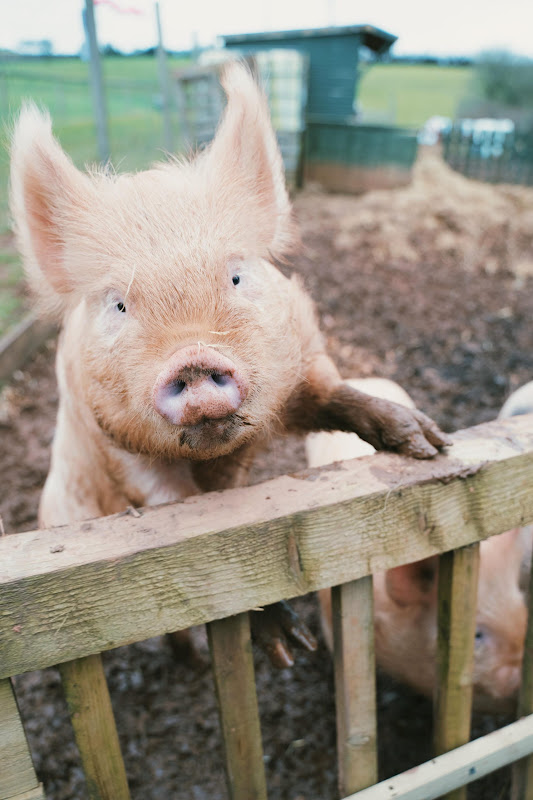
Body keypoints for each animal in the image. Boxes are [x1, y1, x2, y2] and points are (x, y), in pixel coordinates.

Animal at [10, 64, 450, 666]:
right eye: (118, 305)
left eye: (237, 276)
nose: (193, 358)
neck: (220, 459)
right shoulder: (109, 440)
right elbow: (178, 509)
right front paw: (289, 646)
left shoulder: (298, 372)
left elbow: (333, 395)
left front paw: (429, 444)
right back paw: (194, 655)